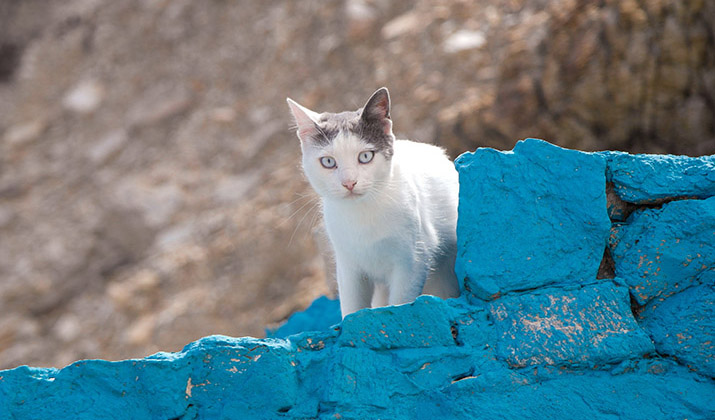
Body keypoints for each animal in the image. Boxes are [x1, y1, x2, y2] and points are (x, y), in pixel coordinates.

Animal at [288, 88, 462, 318]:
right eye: (328, 162)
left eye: (365, 157)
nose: (349, 183)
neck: (362, 214)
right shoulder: (348, 267)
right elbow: (352, 307)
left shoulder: (412, 261)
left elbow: (400, 303)